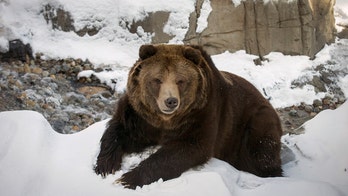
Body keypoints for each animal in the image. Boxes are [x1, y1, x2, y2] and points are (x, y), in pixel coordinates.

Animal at [94, 44, 282, 188]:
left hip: (254, 121)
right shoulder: (141, 115)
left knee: (261, 153)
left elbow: (188, 148)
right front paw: (106, 166)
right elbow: (119, 130)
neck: (165, 120)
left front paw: (127, 179)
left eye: (180, 81)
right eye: (157, 80)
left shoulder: (202, 112)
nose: (171, 101)